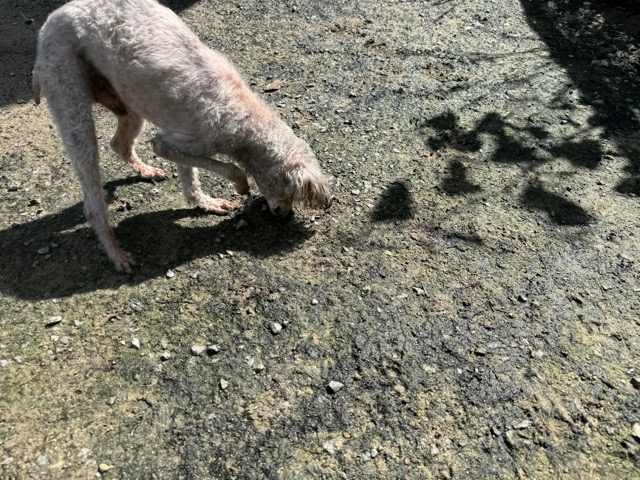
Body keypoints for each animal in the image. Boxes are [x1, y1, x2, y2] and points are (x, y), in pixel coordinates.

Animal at [33, 0, 331, 273]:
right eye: (288, 193)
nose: (285, 216)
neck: (247, 122)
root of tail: (51, 19)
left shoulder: (180, 140)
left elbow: (189, 176)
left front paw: (205, 203)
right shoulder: (184, 141)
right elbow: (227, 167)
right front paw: (241, 185)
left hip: (128, 101)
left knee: (119, 143)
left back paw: (145, 171)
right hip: (69, 93)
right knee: (92, 196)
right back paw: (115, 251)